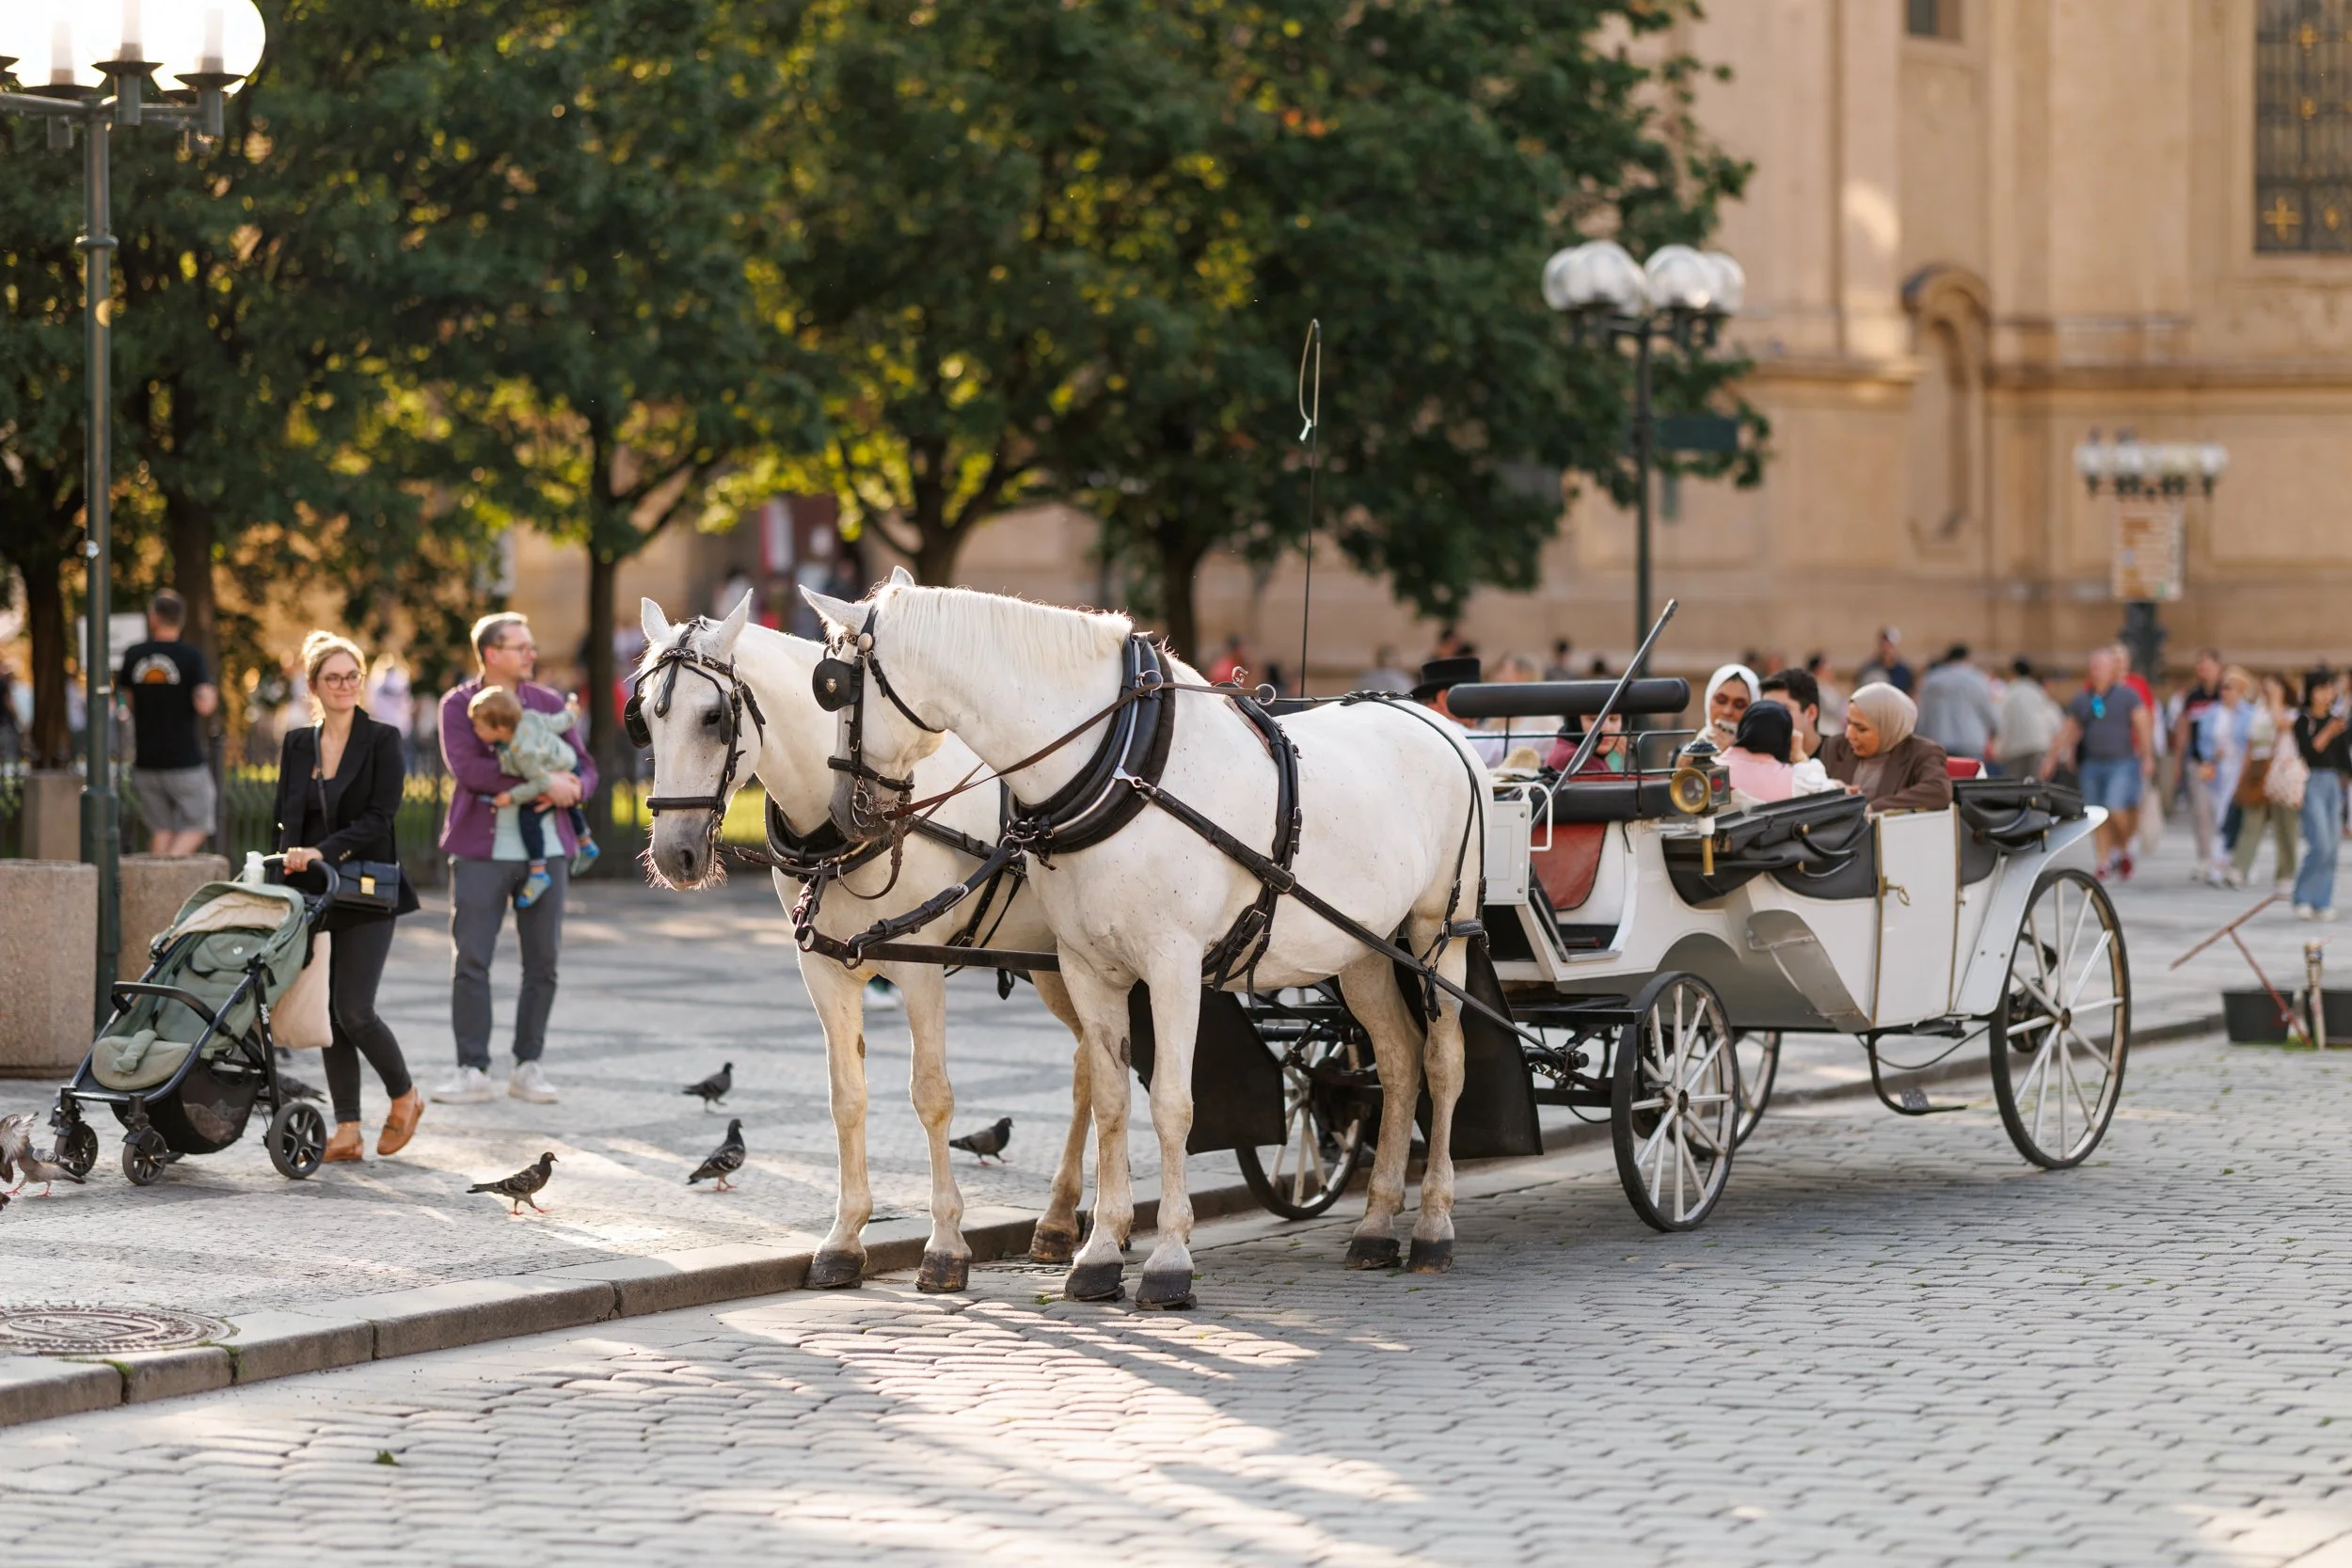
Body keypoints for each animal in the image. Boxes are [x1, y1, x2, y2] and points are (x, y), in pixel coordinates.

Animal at [633, 589, 1099, 1291]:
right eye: (642, 719)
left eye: (714, 716)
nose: (674, 855)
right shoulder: (824, 972)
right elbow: (846, 1097)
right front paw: (845, 1239)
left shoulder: (919, 969)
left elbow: (932, 1097)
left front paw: (945, 1244)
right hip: (1054, 964)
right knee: (1091, 1064)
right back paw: (1060, 1219)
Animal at [799, 580, 1487, 1309]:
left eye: (834, 688)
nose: (843, 814)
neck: (1123, 765)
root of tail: (1443, 725)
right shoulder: (1087, 967)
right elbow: (1110, 1103)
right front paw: (1100, 1253)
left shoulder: (1173, 965)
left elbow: (1170, 1105)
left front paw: (1169, 1259)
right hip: (1363, 951)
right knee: (1398, 1060)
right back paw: (1378, 1224)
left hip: (1439, 932)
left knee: (1443, 1063)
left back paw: (1433, 1225)